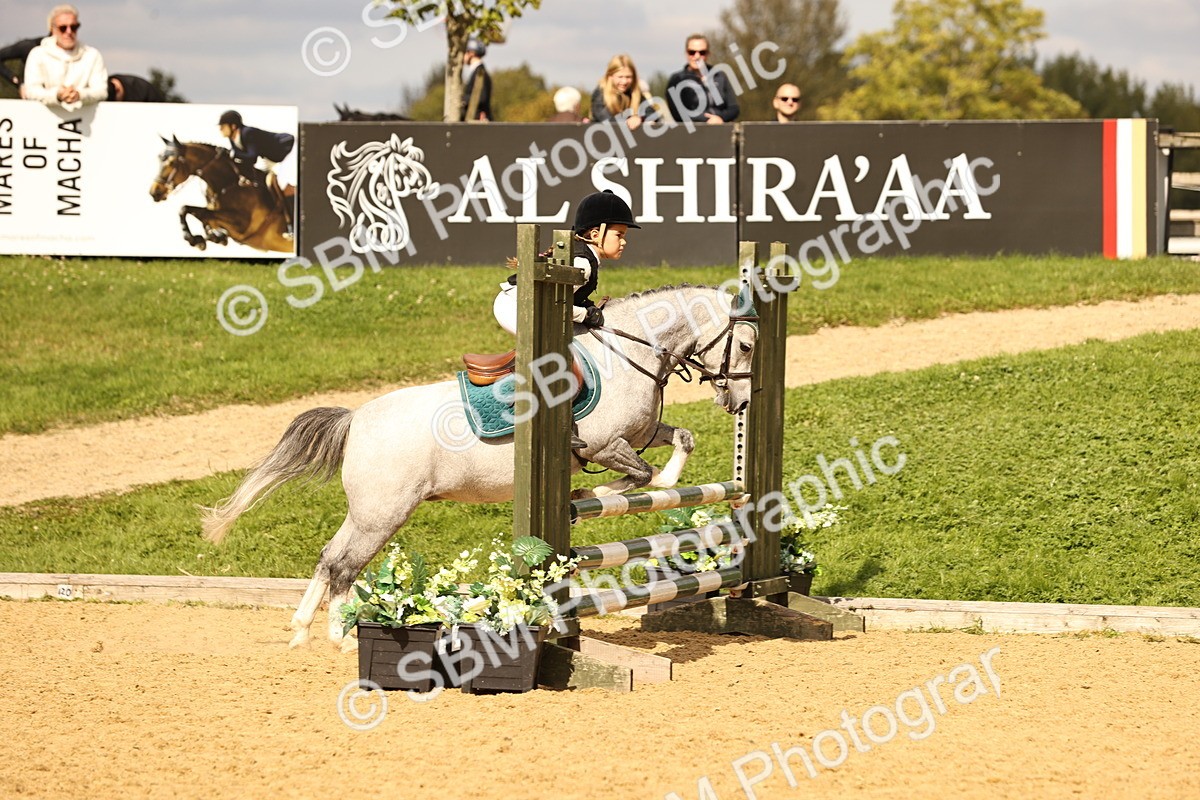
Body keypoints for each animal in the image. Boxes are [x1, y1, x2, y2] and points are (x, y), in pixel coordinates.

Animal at [149, 137, 292, 253]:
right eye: (159, 159)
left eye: (172, 162)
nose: (154, 192)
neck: (227, 184)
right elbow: (193, 212)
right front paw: (213, 238)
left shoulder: (241, 224)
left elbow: (191, 211)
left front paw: (195, 239)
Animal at [201, 284, 758, 649]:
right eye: (748, 345)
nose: (742, 404)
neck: (628, 354)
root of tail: (356, 419)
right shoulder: (605, 446)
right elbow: (639, 476)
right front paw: (587, 497)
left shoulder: (642, 435)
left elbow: (680, 441)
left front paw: (606, 492)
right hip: (384, 512)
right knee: (344, 564)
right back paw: (341, 637)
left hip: (368, 511)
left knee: (328, 556)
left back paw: (301, 631)